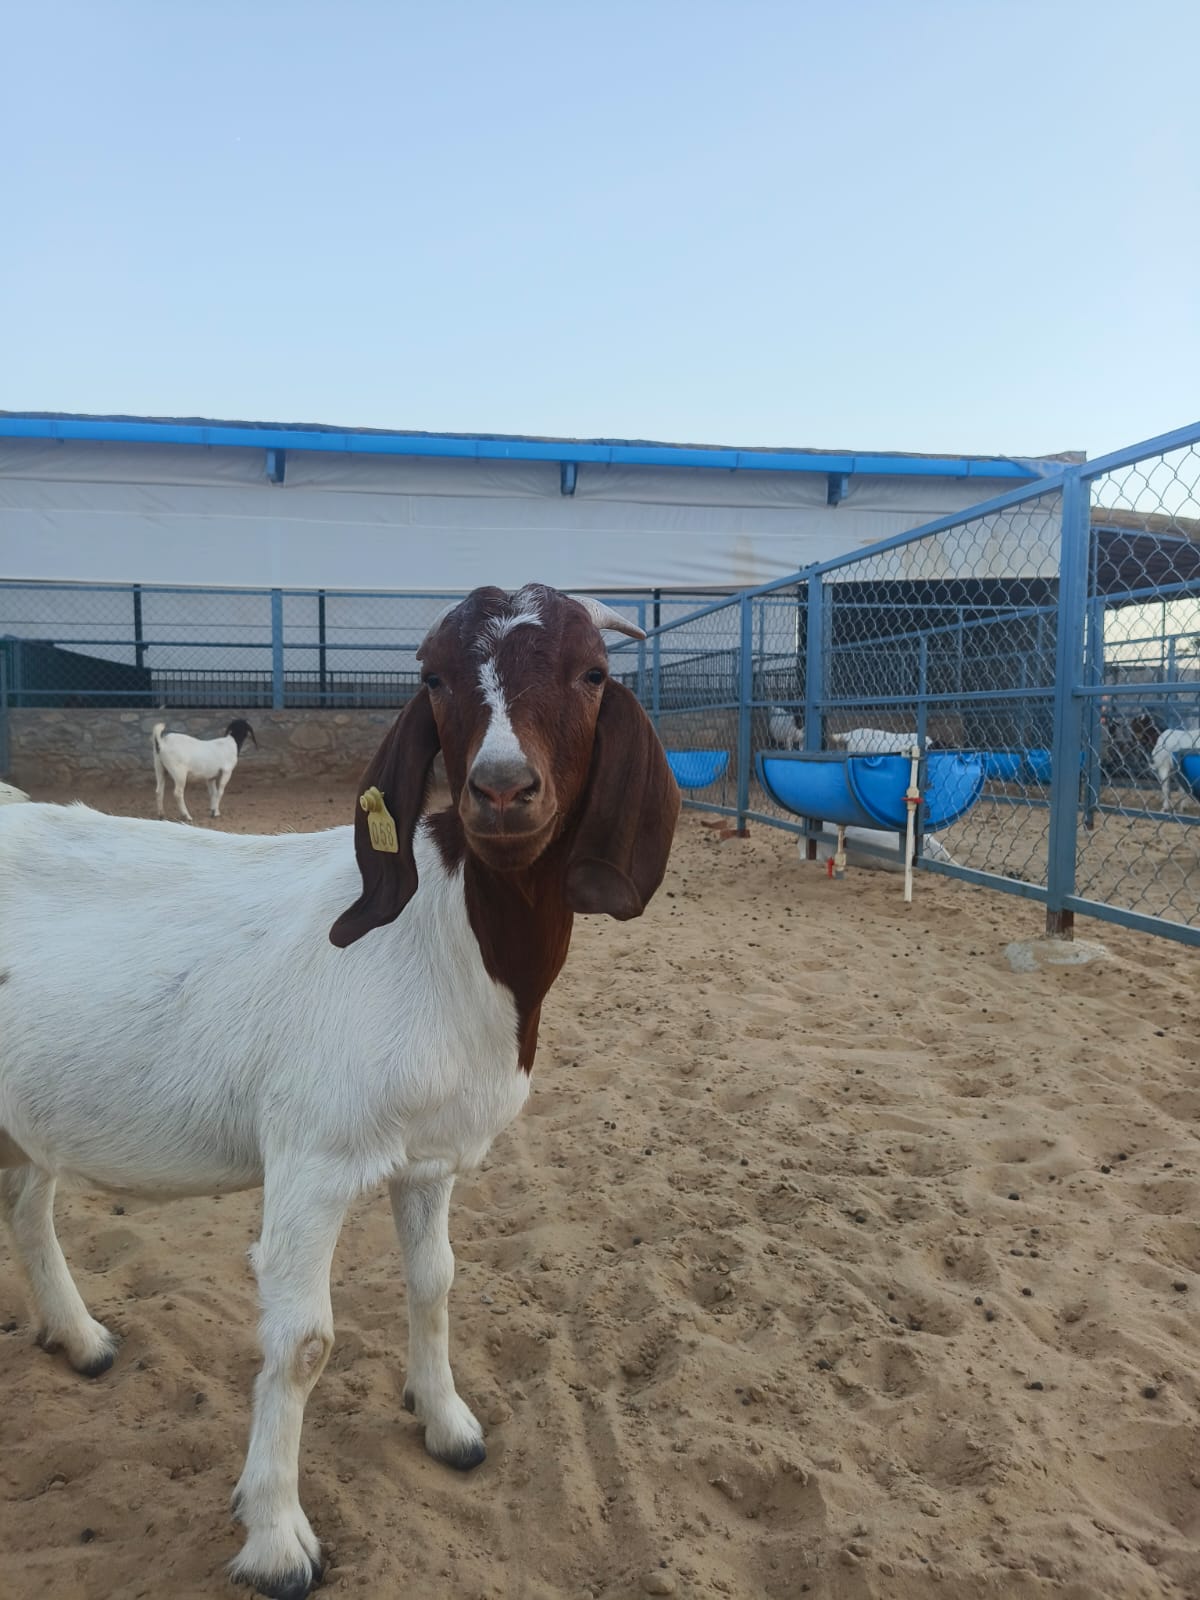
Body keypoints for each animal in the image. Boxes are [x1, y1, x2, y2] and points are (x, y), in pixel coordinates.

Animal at [0, 586, 679, 1600]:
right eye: (433, 678)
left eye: (595, 673)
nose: (503, 789)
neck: (442, 933)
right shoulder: (312, 1158)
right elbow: (305, 1343)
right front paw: (278, 1538)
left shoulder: (430, 1157)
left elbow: (436, 1281)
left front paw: (448, 1424)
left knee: (28, 1201)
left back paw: (80, 1339)